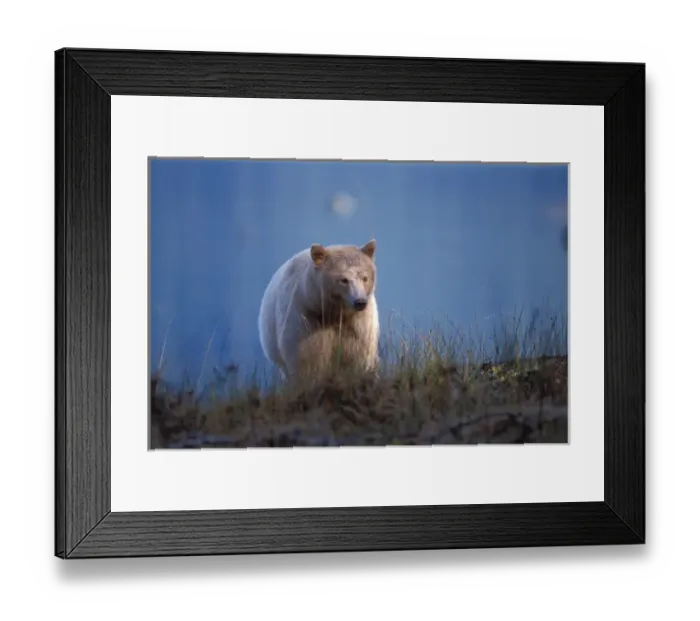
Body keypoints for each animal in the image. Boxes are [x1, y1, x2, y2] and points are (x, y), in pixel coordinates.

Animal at [258, 239, 380, 385]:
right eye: (344, 280)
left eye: (365, 278)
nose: (360, 302)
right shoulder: (305, 313)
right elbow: (306, 355)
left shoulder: (358, 322)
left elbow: (358, 352)